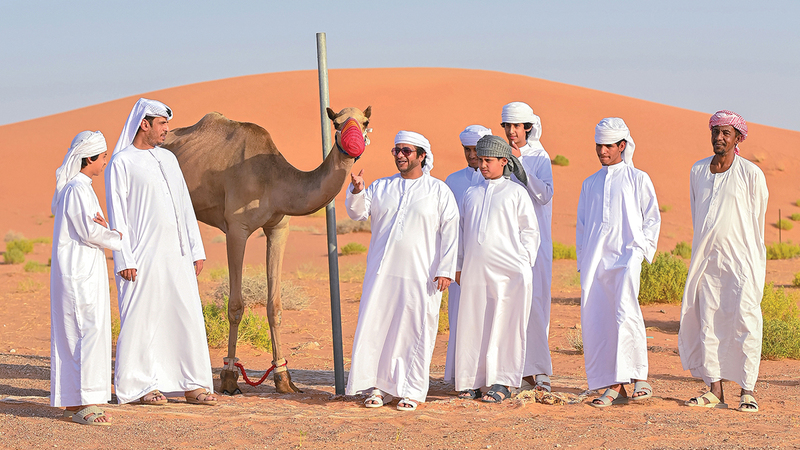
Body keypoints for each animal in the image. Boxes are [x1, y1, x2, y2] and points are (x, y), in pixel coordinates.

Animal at [163, 106, 372, 394]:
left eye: (365, 121)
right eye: (336, 123)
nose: (354, 145)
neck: (274, 182)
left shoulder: (279, 228)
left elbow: (275, 306)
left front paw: (283, 378)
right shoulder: (236, 229)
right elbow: (236, 306)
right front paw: (229, 376)